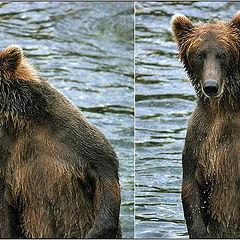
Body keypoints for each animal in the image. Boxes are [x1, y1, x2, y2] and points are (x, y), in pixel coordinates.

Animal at [172, 10, 240, 238]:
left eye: (223, 53)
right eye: (199, 54)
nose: (211, 86)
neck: (222, 108)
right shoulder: (200, 137)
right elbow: (191, 187)